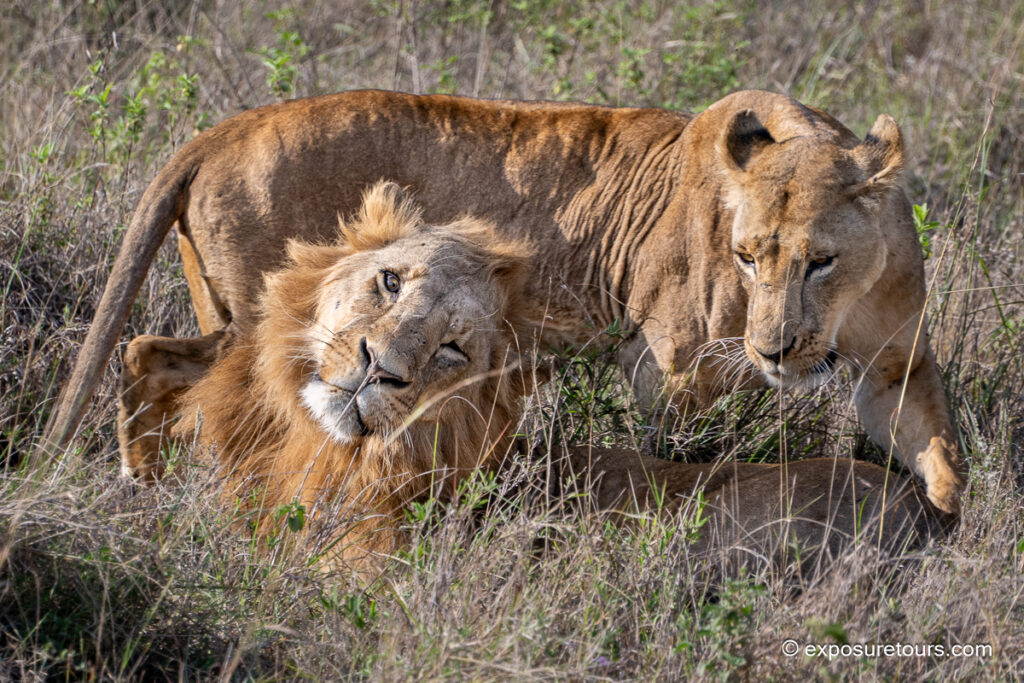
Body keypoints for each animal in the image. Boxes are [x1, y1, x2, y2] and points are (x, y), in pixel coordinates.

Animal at [42, 89, 964, 514]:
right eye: (745, 257)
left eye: (820, 261)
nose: (773, 351)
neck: (846, 310)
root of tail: (217, 131)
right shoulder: (669, 368)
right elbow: (679, 459)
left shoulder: (896, 364)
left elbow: (941, 451)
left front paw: (951, 531)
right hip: (270, 320)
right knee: (163, 364)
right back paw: (155, 486)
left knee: (148, 356)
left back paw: (146, 482)